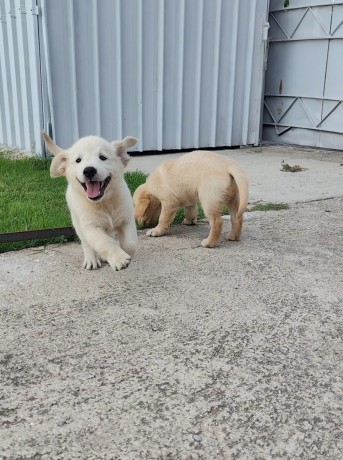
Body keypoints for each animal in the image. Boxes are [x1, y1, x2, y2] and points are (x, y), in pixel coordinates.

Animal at [43, 132, 138, 270]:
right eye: (78, 160)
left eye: (103, 157)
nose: (89, 170)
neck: (104, 202)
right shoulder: (90, 227)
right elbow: (104, 242)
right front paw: (119, 258)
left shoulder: (127, 219)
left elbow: (130, 243)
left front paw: (125, 253)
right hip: (77, 222)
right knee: (86, 243)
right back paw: (91, 260)